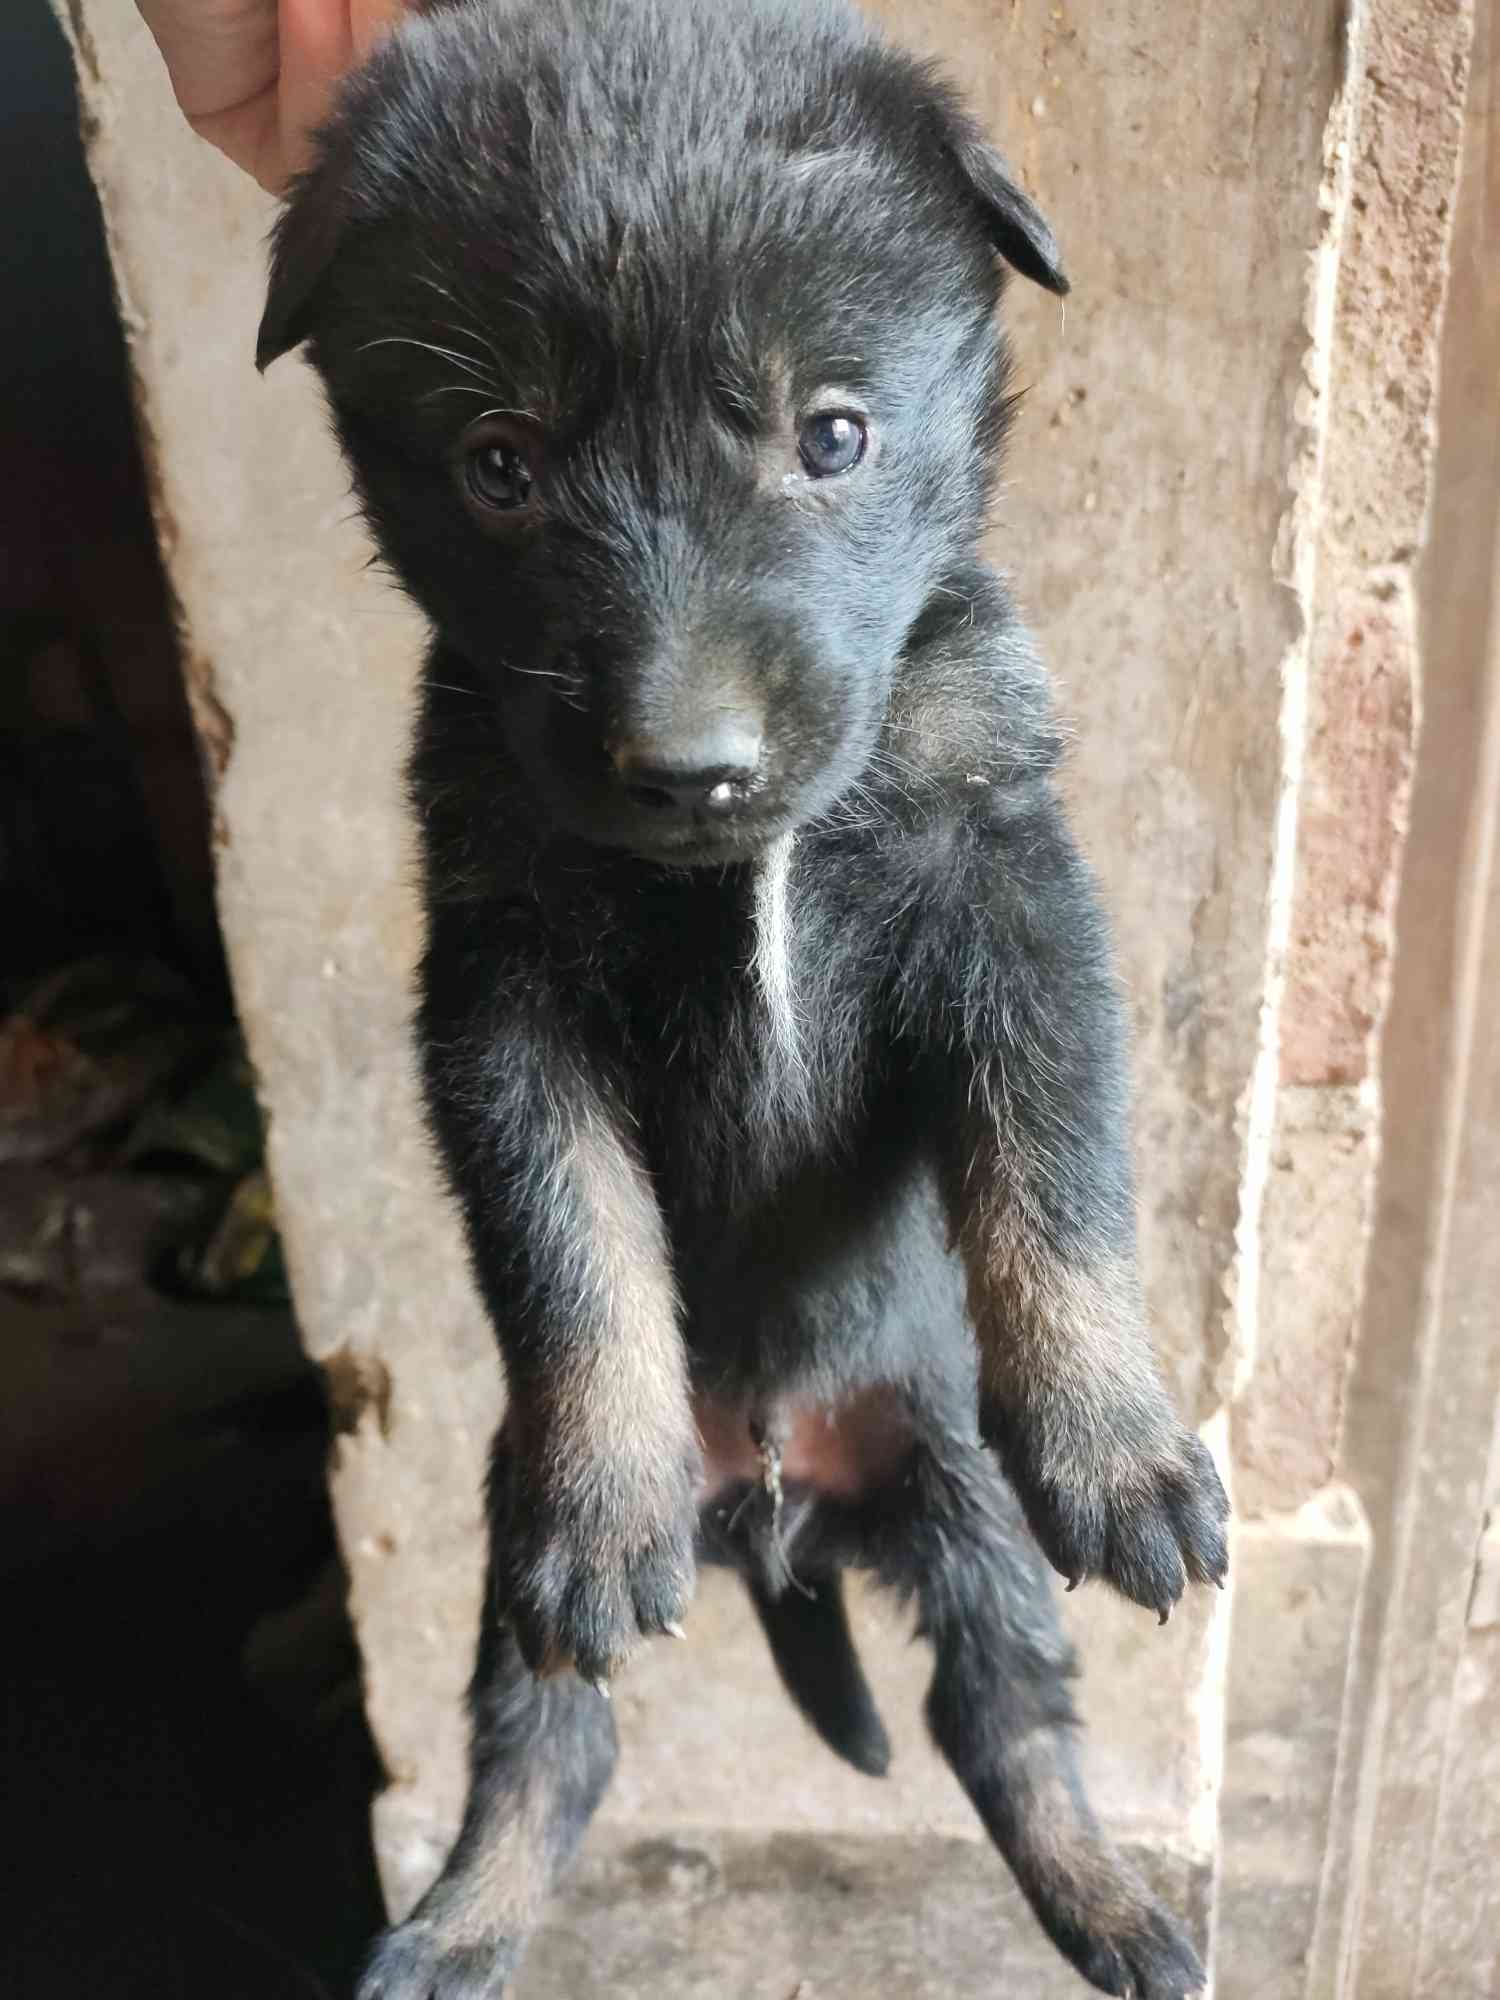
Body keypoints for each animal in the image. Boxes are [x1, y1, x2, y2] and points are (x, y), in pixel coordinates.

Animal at [258, 7, 1232, 1992]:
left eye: (834, 434)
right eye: (500, 463)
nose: (695, 769)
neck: (754, 861)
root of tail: (778, 1505)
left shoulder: (1012, 899)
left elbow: (1058, 1183)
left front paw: (1120, 1443)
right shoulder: (504, 994)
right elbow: (575, 1239)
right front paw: (609, 1470)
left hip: (963, 1504)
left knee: (1005, 1721)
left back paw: (1112, 1906)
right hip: (509, 1562)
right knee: (549, 1747)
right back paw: (454, 1926)